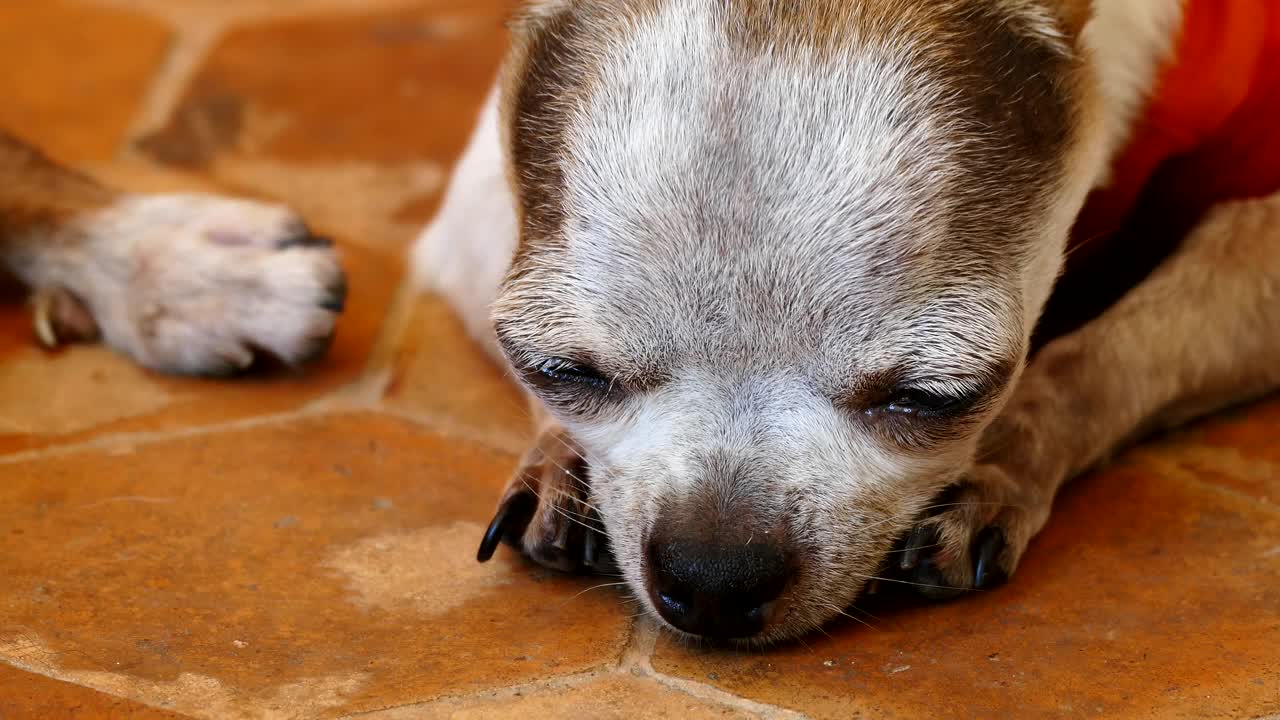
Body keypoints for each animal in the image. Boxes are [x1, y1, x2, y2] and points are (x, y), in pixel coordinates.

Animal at [419, 0, 1280, 638]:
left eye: (933, 399)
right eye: (561, 371)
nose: (714, 574)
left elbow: (1093, 363)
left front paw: (999, 468)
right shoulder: (471, 212)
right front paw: (559, 458)